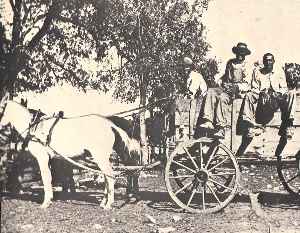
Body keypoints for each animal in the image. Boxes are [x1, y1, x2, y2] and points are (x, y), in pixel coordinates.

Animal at [0, 99, 141, 208]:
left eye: (1, 109)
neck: (35, 127)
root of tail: (110, 125)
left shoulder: (42, 157)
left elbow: (46, 178)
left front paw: (46, 203)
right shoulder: (53, 159)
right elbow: (55, 177)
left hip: (100, 157)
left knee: (110, 177)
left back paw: (108, 204)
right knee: (108, 177)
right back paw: (103, 202)